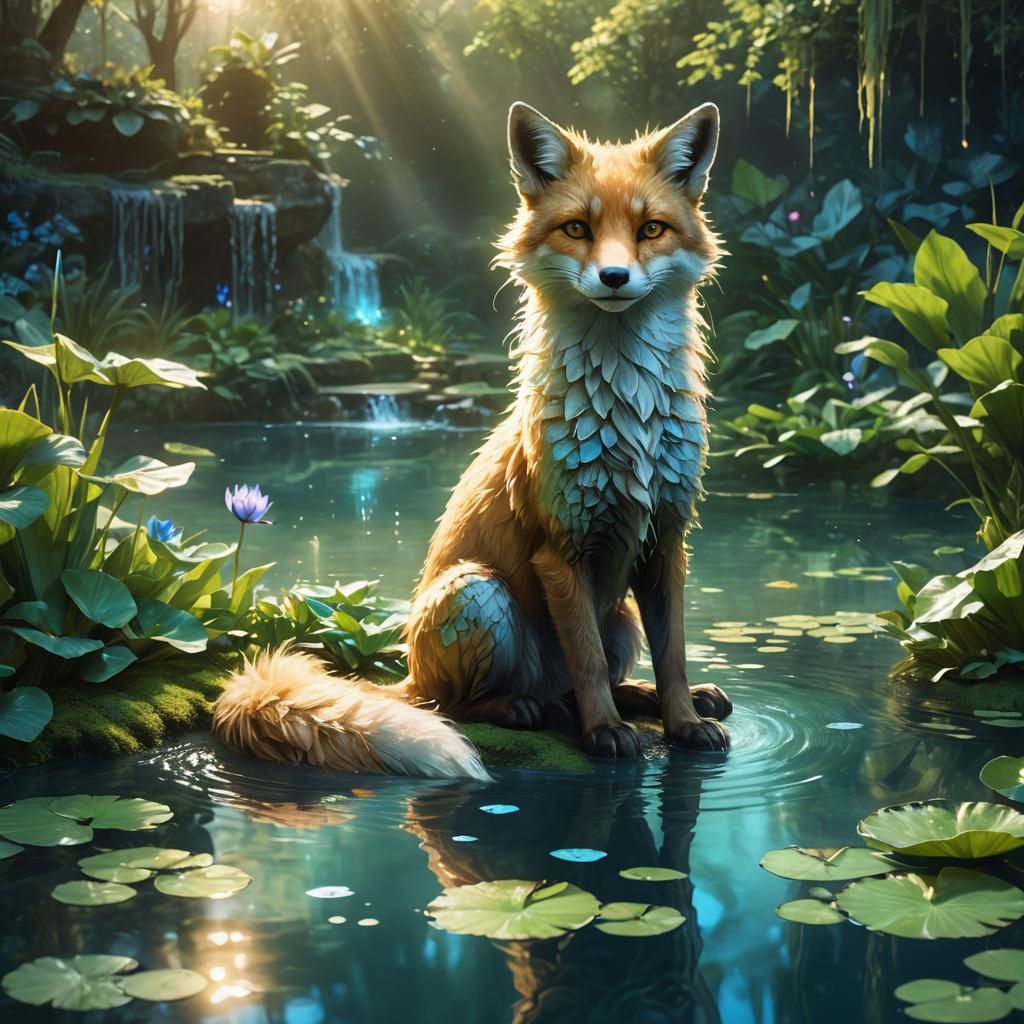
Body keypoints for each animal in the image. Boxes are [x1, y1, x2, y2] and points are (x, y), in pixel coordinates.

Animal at [212, 101, 732, 780]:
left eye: (650, 229)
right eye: (576, 228)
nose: (615, 277)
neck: (630, 418)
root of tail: (407, 668)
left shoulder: (666, 538)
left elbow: (674, 657)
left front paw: (684, 721)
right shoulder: (561, 549)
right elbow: (588, 663)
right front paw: (605, 735)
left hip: (620, 620)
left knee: (593, 680)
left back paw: (646, 699)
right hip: (479, 593)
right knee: (461, 703)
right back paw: (527, 709)